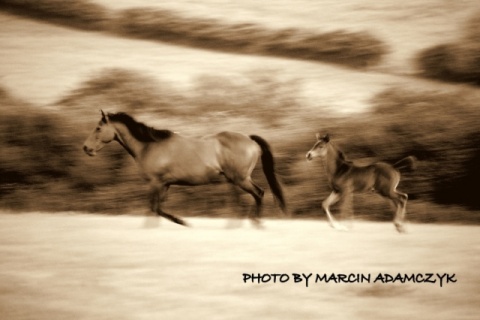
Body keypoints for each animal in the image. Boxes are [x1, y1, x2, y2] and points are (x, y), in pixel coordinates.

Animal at [83, 111, 286, 226]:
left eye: (98, 128)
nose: (86, 148)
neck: (149, 146)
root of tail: (250, 140)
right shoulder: (165, 184)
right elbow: (158, 208)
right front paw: (181, 221)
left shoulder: (155, 183)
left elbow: (154, 208)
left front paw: (182, 222)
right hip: (239, 180)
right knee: (256, 195)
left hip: (240, 179)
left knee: (259, 193)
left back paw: (256, 222)